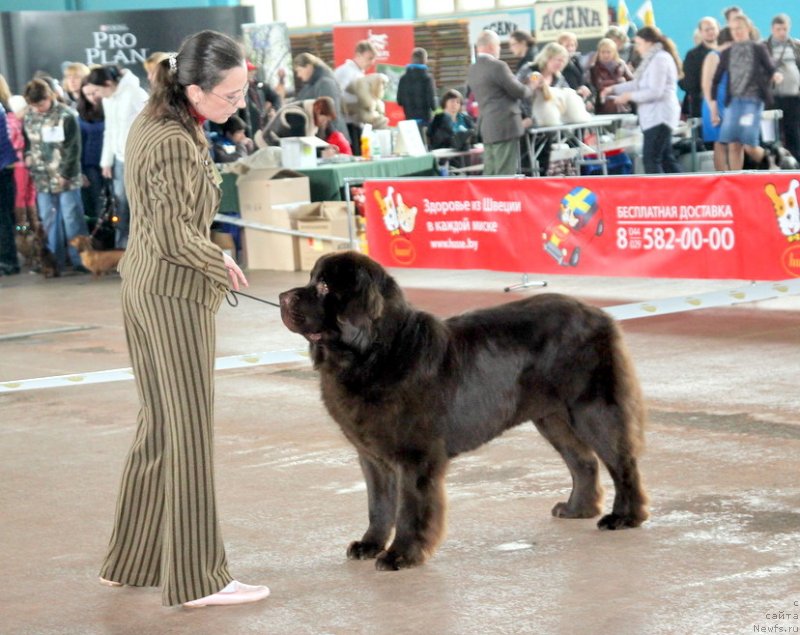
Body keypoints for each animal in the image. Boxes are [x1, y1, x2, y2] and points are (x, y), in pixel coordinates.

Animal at [278, 250, 648, 572]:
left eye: (325, 287)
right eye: (311, 279)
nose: (282, 297)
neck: (373, 353)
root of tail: (601, 315)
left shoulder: (414, 457)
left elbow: (409, 508)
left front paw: (401, 555)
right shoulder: (372, 455)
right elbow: (378, 505)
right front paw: (369, 545)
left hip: (593, 410)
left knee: (622, 462)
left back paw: (625, 517)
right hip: (551, 417)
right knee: (583, 462)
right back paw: (577, 509)